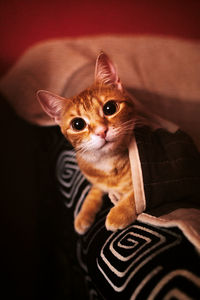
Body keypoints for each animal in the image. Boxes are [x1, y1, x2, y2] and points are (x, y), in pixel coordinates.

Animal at [36, 51, 138, 234]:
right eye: (78, 124)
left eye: (110, 108)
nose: (101, 131)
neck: (108, 162)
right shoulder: (96, 180)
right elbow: (93, 192)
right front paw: (83, 215)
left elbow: (137, 195)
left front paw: (119, 213)